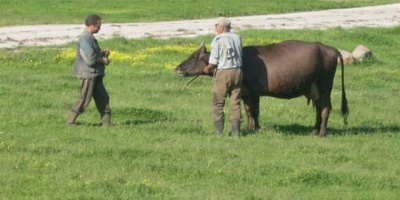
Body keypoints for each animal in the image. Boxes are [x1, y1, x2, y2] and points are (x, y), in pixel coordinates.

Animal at [175, 39, 346, 136]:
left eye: (193, 56)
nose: (177, 68)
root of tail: (330, 48)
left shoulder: (254, 92)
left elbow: (255, 111)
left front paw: (255, 129)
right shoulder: (245, 93)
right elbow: (248, 112)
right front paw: (250, 129)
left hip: (325, 85)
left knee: (326, 107)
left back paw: (322, 132)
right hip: (314, 87)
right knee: (319, 107)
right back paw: (315, 130)